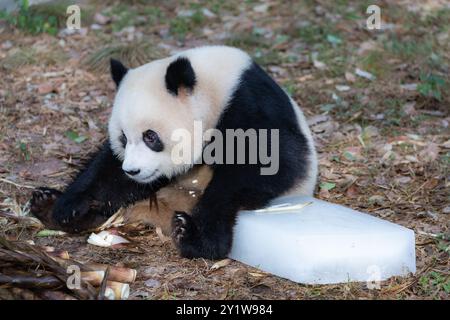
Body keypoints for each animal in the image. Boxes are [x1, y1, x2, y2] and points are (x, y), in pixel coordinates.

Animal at [29, 45, 318, 260]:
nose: (133, 170)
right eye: (123, 138)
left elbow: (275, 163)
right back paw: (47, 204)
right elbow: (108, 168)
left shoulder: (251, 105)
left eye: (151, 136)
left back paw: (186, 232)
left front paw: (201, 239)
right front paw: (69, 206)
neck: (214, 89)